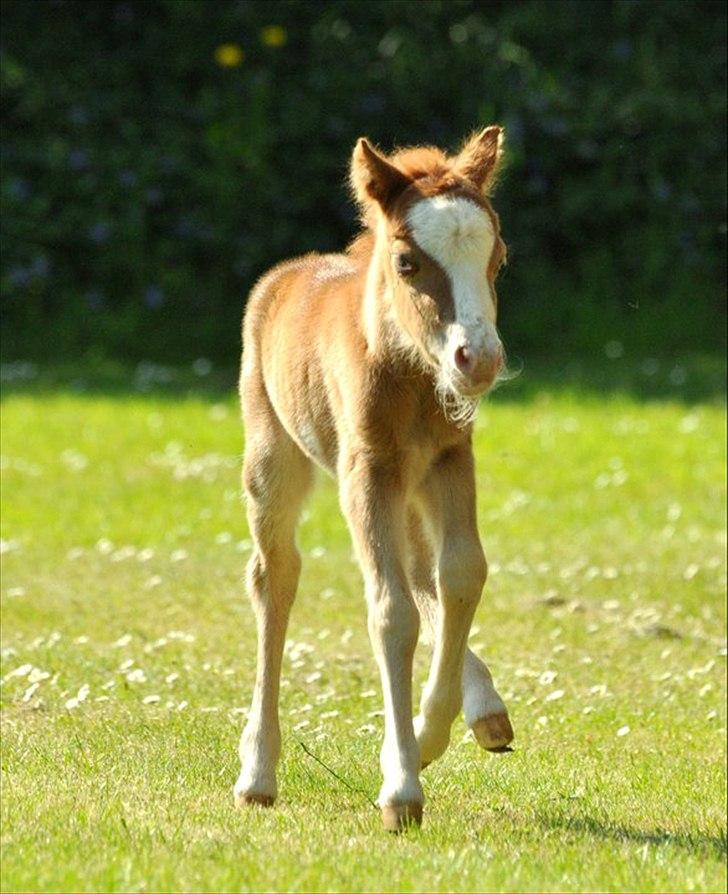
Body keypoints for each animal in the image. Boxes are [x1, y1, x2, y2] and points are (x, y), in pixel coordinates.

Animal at [236, 126, 516, 832]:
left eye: (498, 258)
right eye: (409, 263)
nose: (479, 360)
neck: (409, 371)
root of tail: (283, 276)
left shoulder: (449, 458)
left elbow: (462, 574)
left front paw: (429, 734)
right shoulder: (366, 469)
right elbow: (390, 612)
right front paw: (402, 785)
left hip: (410, 487)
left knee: (422, 571)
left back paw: (483, 710)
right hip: (274, 457)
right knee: (275, 576)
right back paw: (257, 772)